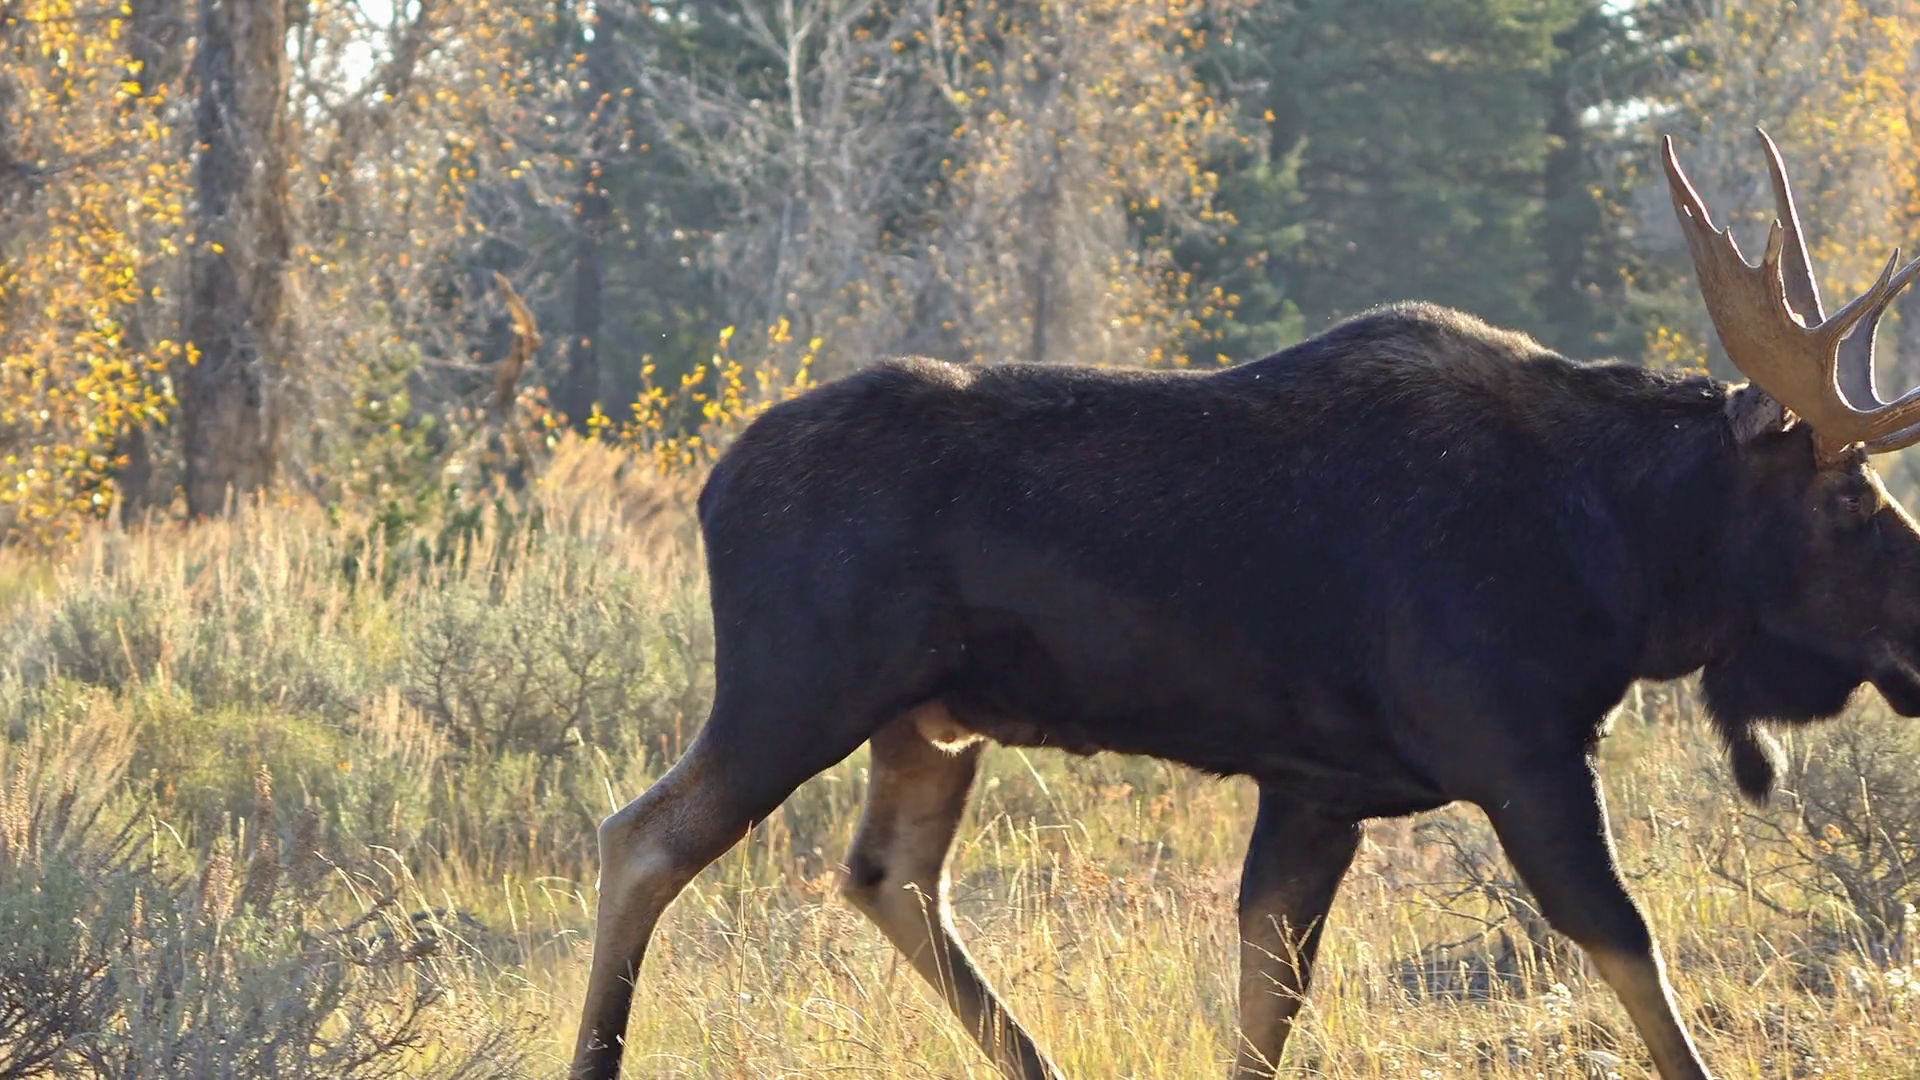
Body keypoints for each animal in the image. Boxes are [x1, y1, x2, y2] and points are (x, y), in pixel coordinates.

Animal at [569, 129, 1920, 1080]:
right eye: (1851, 498)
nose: (1915, 634)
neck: (1623, 570)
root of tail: (714, 486)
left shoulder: (1318, 788)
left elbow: (1267, 998)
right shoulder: (1520, 751)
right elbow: (1631, 951)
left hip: (929, 722)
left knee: (888, 875)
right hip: (797, 687)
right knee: (642, 834)